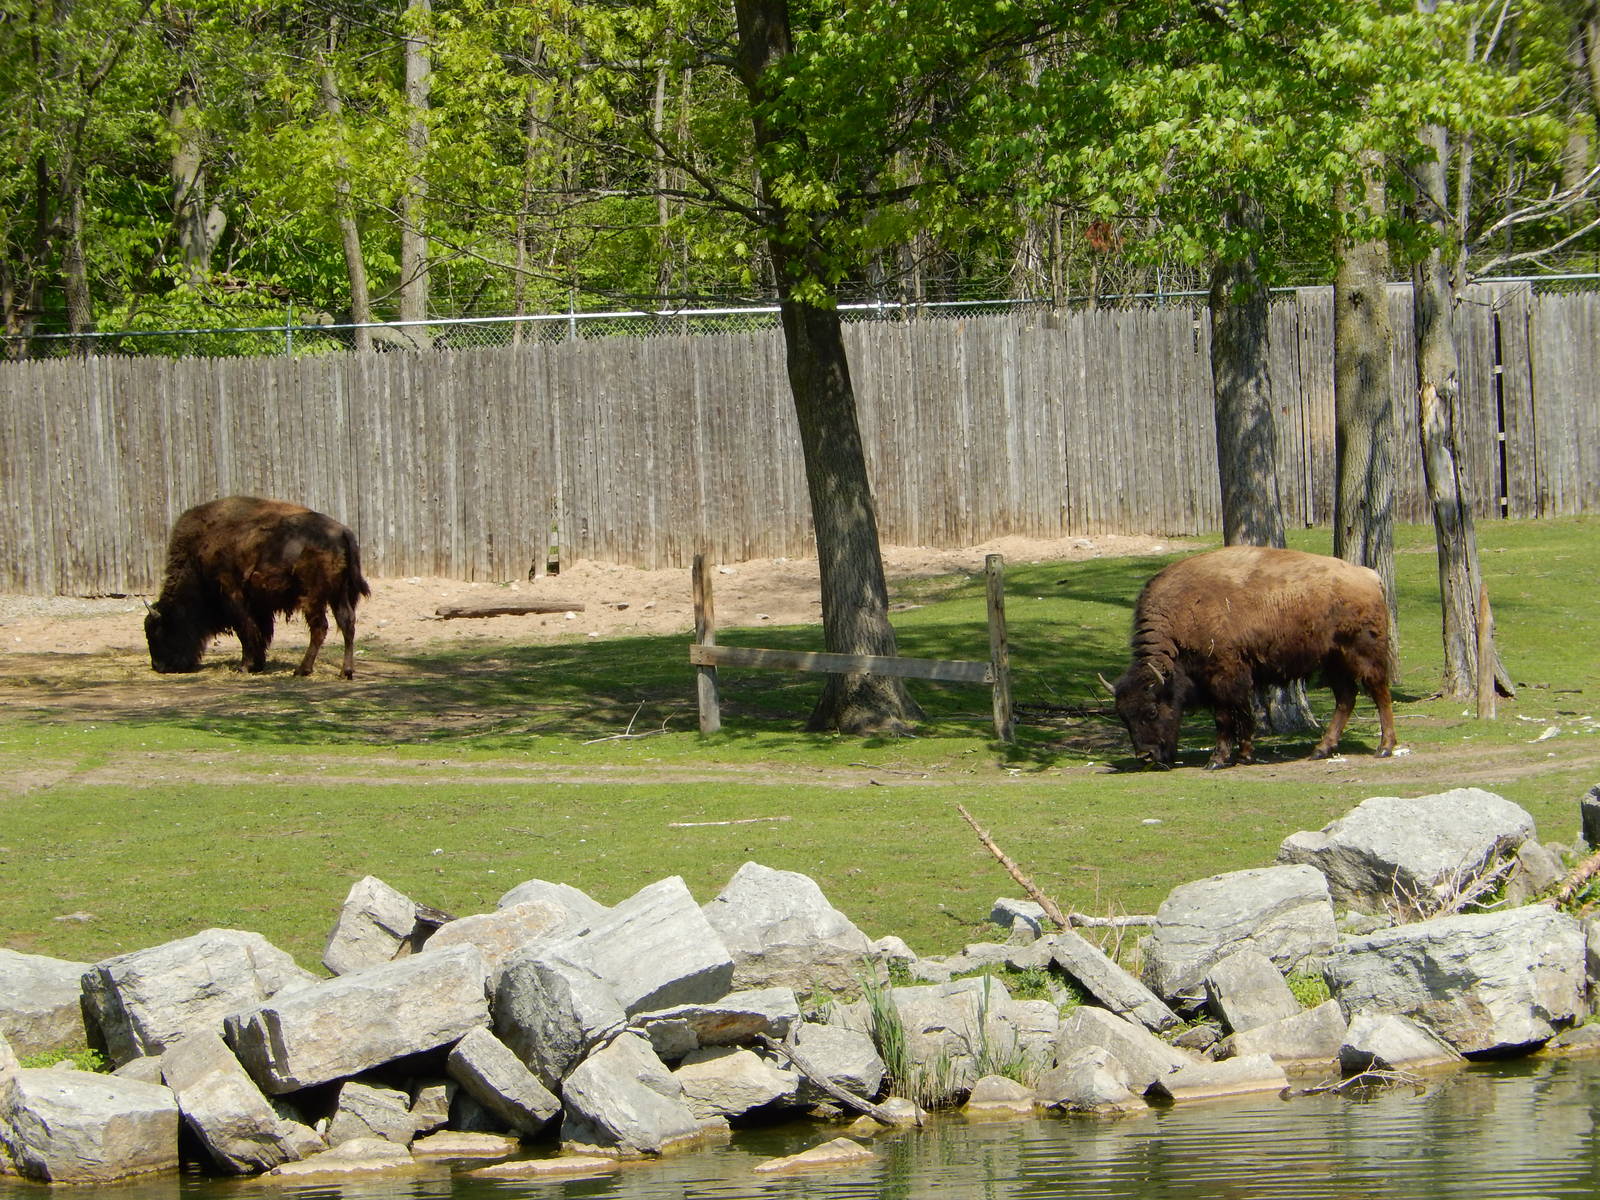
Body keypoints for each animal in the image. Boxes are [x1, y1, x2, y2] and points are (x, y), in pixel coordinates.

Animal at [145, 496, 371, 678]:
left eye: (160, 630)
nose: (159, 666)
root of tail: (342, 532)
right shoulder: (259, 605)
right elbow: (260, 632)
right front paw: (258, 664)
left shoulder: (234, 596)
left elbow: (246, 630)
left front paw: (245, 666)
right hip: (338, 595)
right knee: (347, 624)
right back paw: (345, 671)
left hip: (312, 597)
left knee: (320, 628)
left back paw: (302, 669)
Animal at [1112, 545, 1397, 769]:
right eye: (1123, 715)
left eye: (1151, 711)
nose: (1145, 756)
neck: (1179, 617)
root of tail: (1369, 575)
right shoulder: (1236, 678)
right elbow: (1243, 713)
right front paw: (1244, 755)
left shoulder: (1223, 676)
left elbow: (1225, 717)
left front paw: (1217, 760)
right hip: (1333, 661)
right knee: (1346, 698)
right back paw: (1320, 750)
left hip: (1363, 654)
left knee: (1379, 692)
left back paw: (1384, 747)